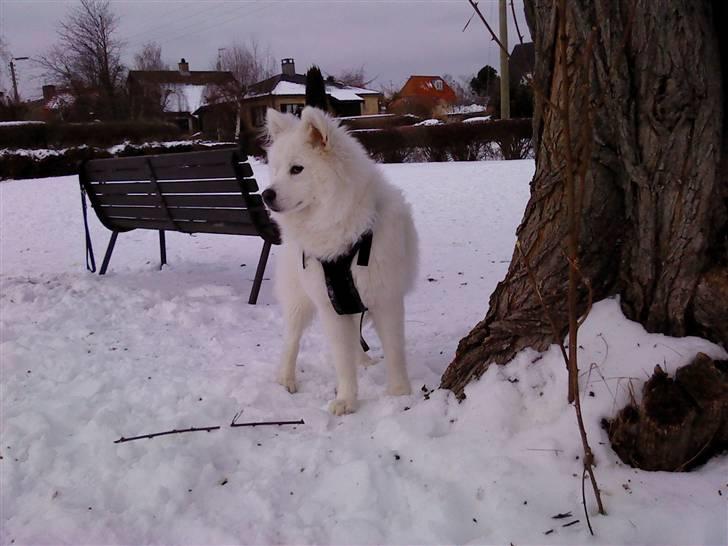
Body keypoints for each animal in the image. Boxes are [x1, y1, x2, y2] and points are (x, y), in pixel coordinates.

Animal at [264, 106, 418, 412]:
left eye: (296, 169)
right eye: (276, 169)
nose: (266, 194)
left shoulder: (386, 298)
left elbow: (395, 350)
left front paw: (399, 393)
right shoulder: (329, 306)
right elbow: (341, 359)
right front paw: (347, 400)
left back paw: (365, 361)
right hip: (300, 300)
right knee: (291, 339)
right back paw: (286, 378)